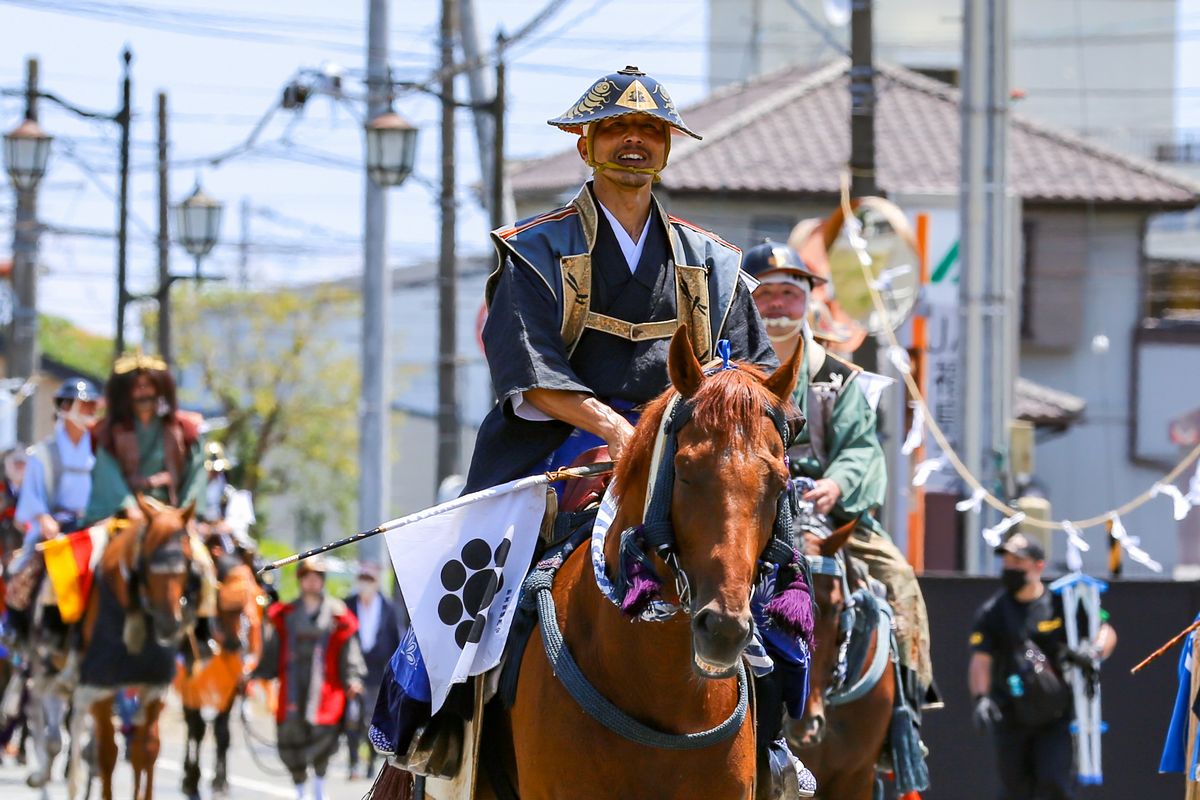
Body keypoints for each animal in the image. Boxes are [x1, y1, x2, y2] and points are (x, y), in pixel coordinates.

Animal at [70, 494, 207, 800]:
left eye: (187, 560)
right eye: (147, 560)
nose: (169, 623)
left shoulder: (154, 684)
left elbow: (146, 750)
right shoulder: (100, 685)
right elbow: (108, 752)